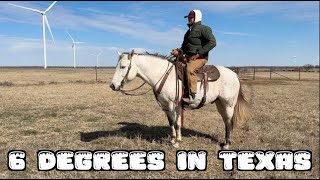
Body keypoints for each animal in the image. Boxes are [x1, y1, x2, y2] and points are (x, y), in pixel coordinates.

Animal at [110, 50, 250, 149]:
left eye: (123, 67)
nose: (113, 85)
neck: (163, 75)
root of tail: (234, 74)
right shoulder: (166, 106)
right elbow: (171, 122)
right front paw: (173, 139)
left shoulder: (173, 105)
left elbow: (176, 123)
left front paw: (176, 142)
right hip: (220, 103)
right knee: (226, 122)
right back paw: (225, 142)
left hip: (228, 104)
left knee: (229, 122)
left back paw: (227, 144)